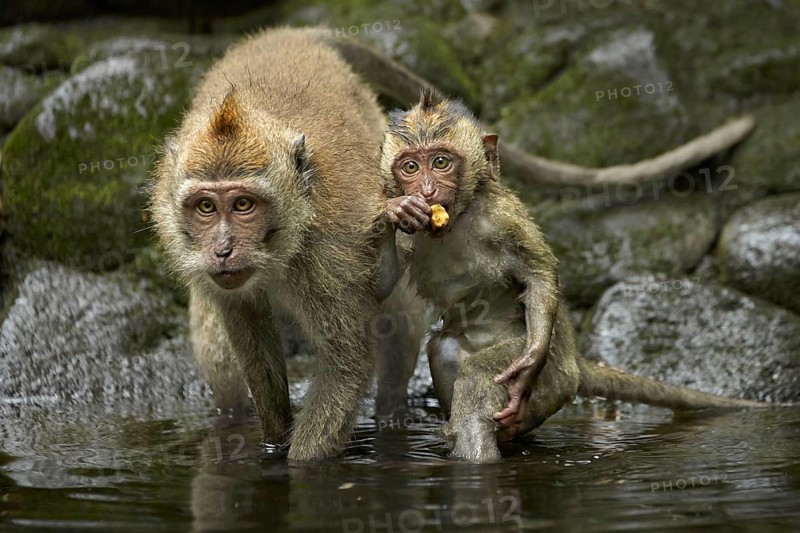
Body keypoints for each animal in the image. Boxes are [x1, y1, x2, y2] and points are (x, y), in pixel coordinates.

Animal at [149, 28, 404, 461]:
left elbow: (345, 364)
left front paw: (296, 464)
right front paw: (271, 444)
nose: (223, 250)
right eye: (205, 206)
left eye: (243, 205)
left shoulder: (331, 255)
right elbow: (250, 339)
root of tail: (289, 33)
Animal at [381, 91, 762, 461]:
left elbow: (538, 272)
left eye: (441, 162)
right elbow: (382, 282)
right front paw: (396, 210)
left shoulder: (502, 216)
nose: (427, 191)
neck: (455, 221)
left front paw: (531, 361)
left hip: (553, 381)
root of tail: (575, 366)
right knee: (443, 348)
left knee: (479, 374)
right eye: (411, 166)